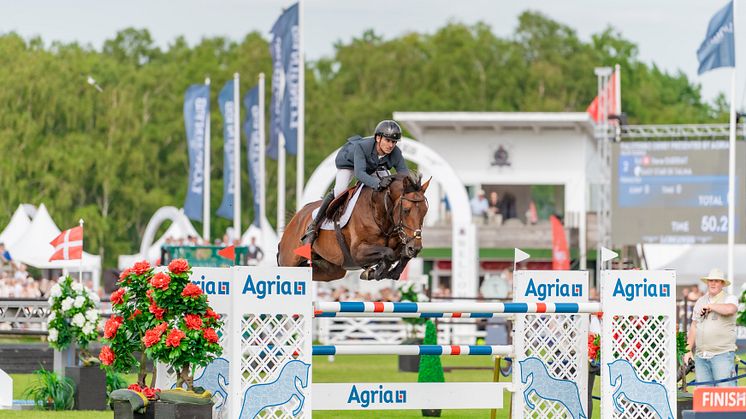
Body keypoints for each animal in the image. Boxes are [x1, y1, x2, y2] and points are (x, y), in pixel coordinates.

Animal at [276, 171, 428, 282]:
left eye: (425, 211)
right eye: (406, 210)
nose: (415, 248)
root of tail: (296, 217)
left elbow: (402, 255)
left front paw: (390, 272)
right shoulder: (357, 252)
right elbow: (389, 253)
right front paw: (375, 272)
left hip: (332, 270)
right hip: (289, 261)